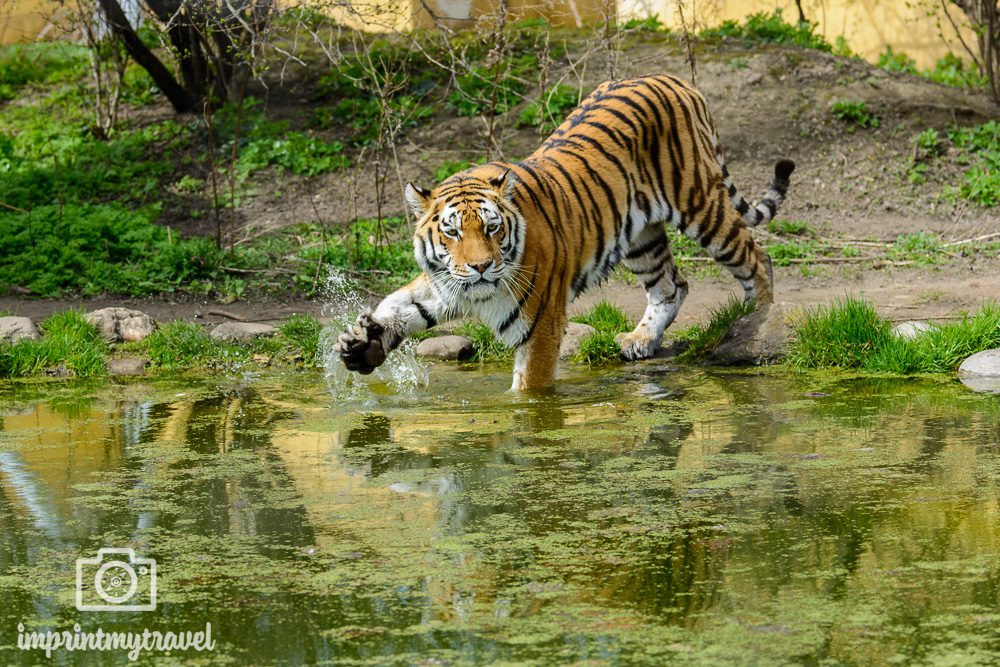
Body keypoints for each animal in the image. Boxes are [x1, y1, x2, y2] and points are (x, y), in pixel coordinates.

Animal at [336, 73, 796, 392]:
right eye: (452, 234)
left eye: (492, 228)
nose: (482, 267)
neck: (475, 289)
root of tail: (675, 80)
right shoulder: (443, 283)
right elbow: (399, 306)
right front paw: (361, 342)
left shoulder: (540, 325)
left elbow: (529, 391)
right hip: (642, 236)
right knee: (672, 284)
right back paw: (641, 339)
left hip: (700, 203)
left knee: (757, 259)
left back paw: (754, 325)